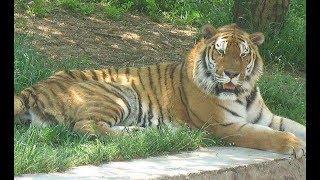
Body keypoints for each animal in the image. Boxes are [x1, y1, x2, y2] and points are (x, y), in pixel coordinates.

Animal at [14, 23, 304, 158]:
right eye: (221, 52)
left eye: (243, 54)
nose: (232, 73)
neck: (242, 93)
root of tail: (36, 85)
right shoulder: (224, 126)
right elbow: (266, 136)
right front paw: (295, 145)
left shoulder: (267, 118)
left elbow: (295, 125)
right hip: (117, 94)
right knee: (85, 127)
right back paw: (140, 135)